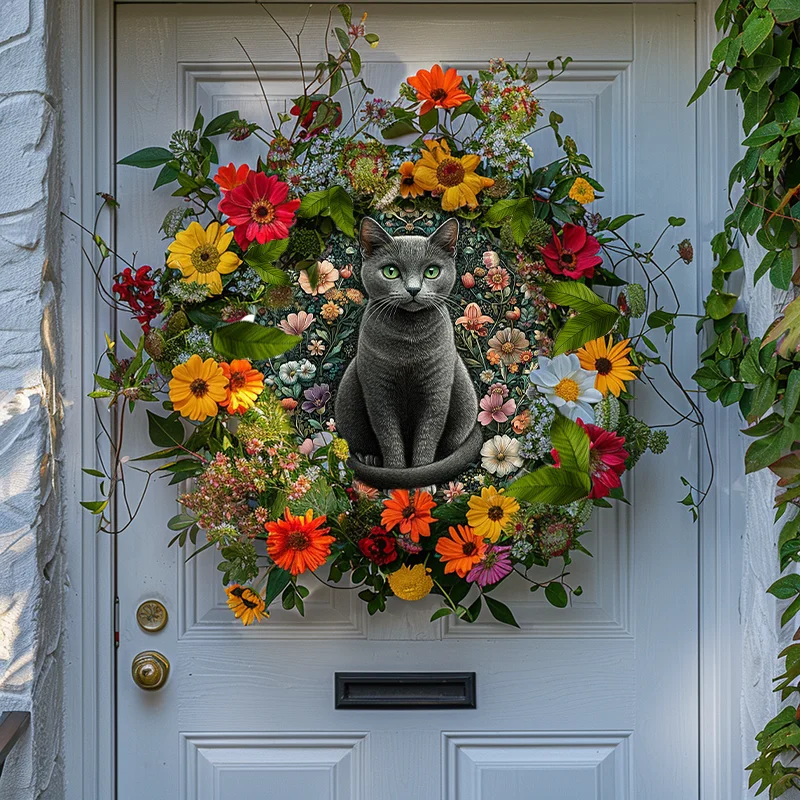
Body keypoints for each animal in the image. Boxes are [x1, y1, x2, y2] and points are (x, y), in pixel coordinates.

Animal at [332, 216, 478, 490]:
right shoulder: (378, 390)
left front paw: (421, 481)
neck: (409, 344)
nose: (413, 289)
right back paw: (369, 457)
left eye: (431, 271)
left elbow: (427, 435)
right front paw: (396, 478)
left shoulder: (436, 391)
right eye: (391, 271)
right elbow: (389, 436)